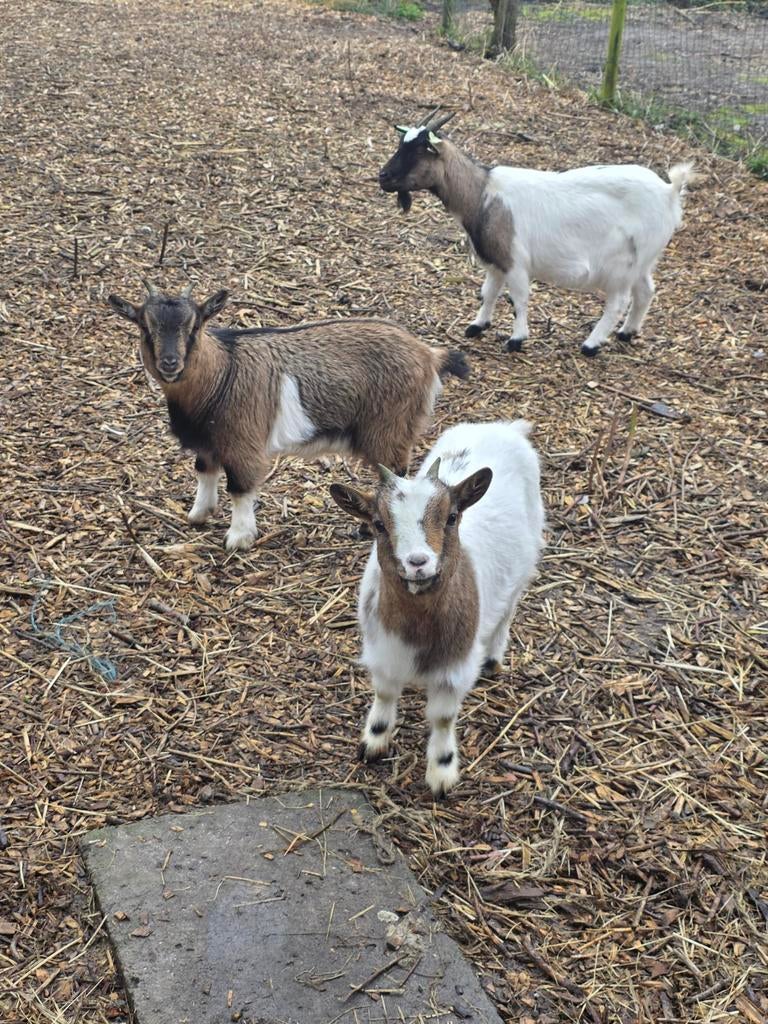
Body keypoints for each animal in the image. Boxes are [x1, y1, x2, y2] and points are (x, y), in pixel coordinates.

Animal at [108, 282, 470, 551]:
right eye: (144, 327)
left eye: (195, 326)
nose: (170, 363)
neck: (221, 373)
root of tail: (430, 355)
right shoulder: (209, 442)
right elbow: (204, 471)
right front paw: (198, 514)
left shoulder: (243, 442)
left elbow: (239, 487)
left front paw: (238, 538)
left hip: (389, 428)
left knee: (394, 473)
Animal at [330, 420, 544, 797]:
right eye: (379, 524)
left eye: (452, 517)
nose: (418, 562)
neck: (418, 630)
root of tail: (505, 427)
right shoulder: (382, 651)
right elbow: (385, 692)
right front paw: (374, 742)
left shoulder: (454, 669)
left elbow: (442, 718)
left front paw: (441, 773)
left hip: (527, 559)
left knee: (508, 610)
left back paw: (493, 659)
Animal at [379, 110, 694, 356]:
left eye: (419, 151)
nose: (383, 177)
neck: (483, 194)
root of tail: (669, 192)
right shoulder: (496, 260)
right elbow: (488, 293)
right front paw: (477, 326)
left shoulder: (516, 261)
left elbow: (518, 298)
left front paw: (516, 339)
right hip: (644, 260)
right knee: (646, 291)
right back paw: (627, 332)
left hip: (621, 266)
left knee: (617, 302)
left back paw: (591, 345)